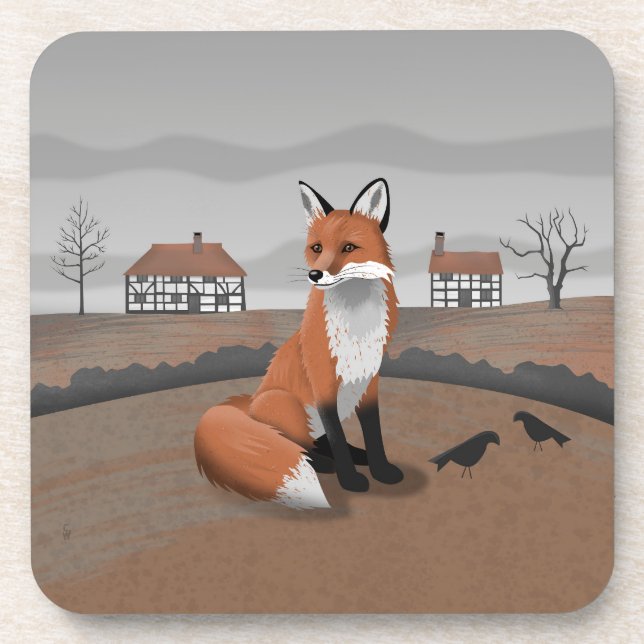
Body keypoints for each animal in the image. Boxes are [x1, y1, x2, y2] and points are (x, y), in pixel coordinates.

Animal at [194, 178, 403, 509]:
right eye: (317, 248)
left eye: (348, 247)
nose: (315, 274)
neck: (356, 326)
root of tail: (249, 404)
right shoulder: (323, 384)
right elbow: (337, 438)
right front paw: (350, 480)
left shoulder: (370, 381)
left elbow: (374, 435)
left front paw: (381, 469)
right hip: (287, 404)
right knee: (298, 444)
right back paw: (325, 464)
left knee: (318, 441)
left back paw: (357, 456)